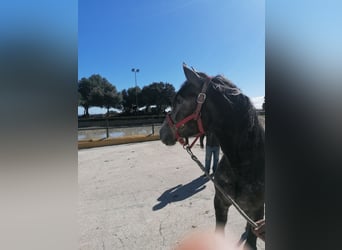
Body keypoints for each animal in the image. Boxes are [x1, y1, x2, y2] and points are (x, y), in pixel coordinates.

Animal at [160, 64, 264, 248]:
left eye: (179, 101)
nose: (162, 132)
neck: (241, 166)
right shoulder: (220, 203)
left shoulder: (257, 212)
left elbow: (251, 241)